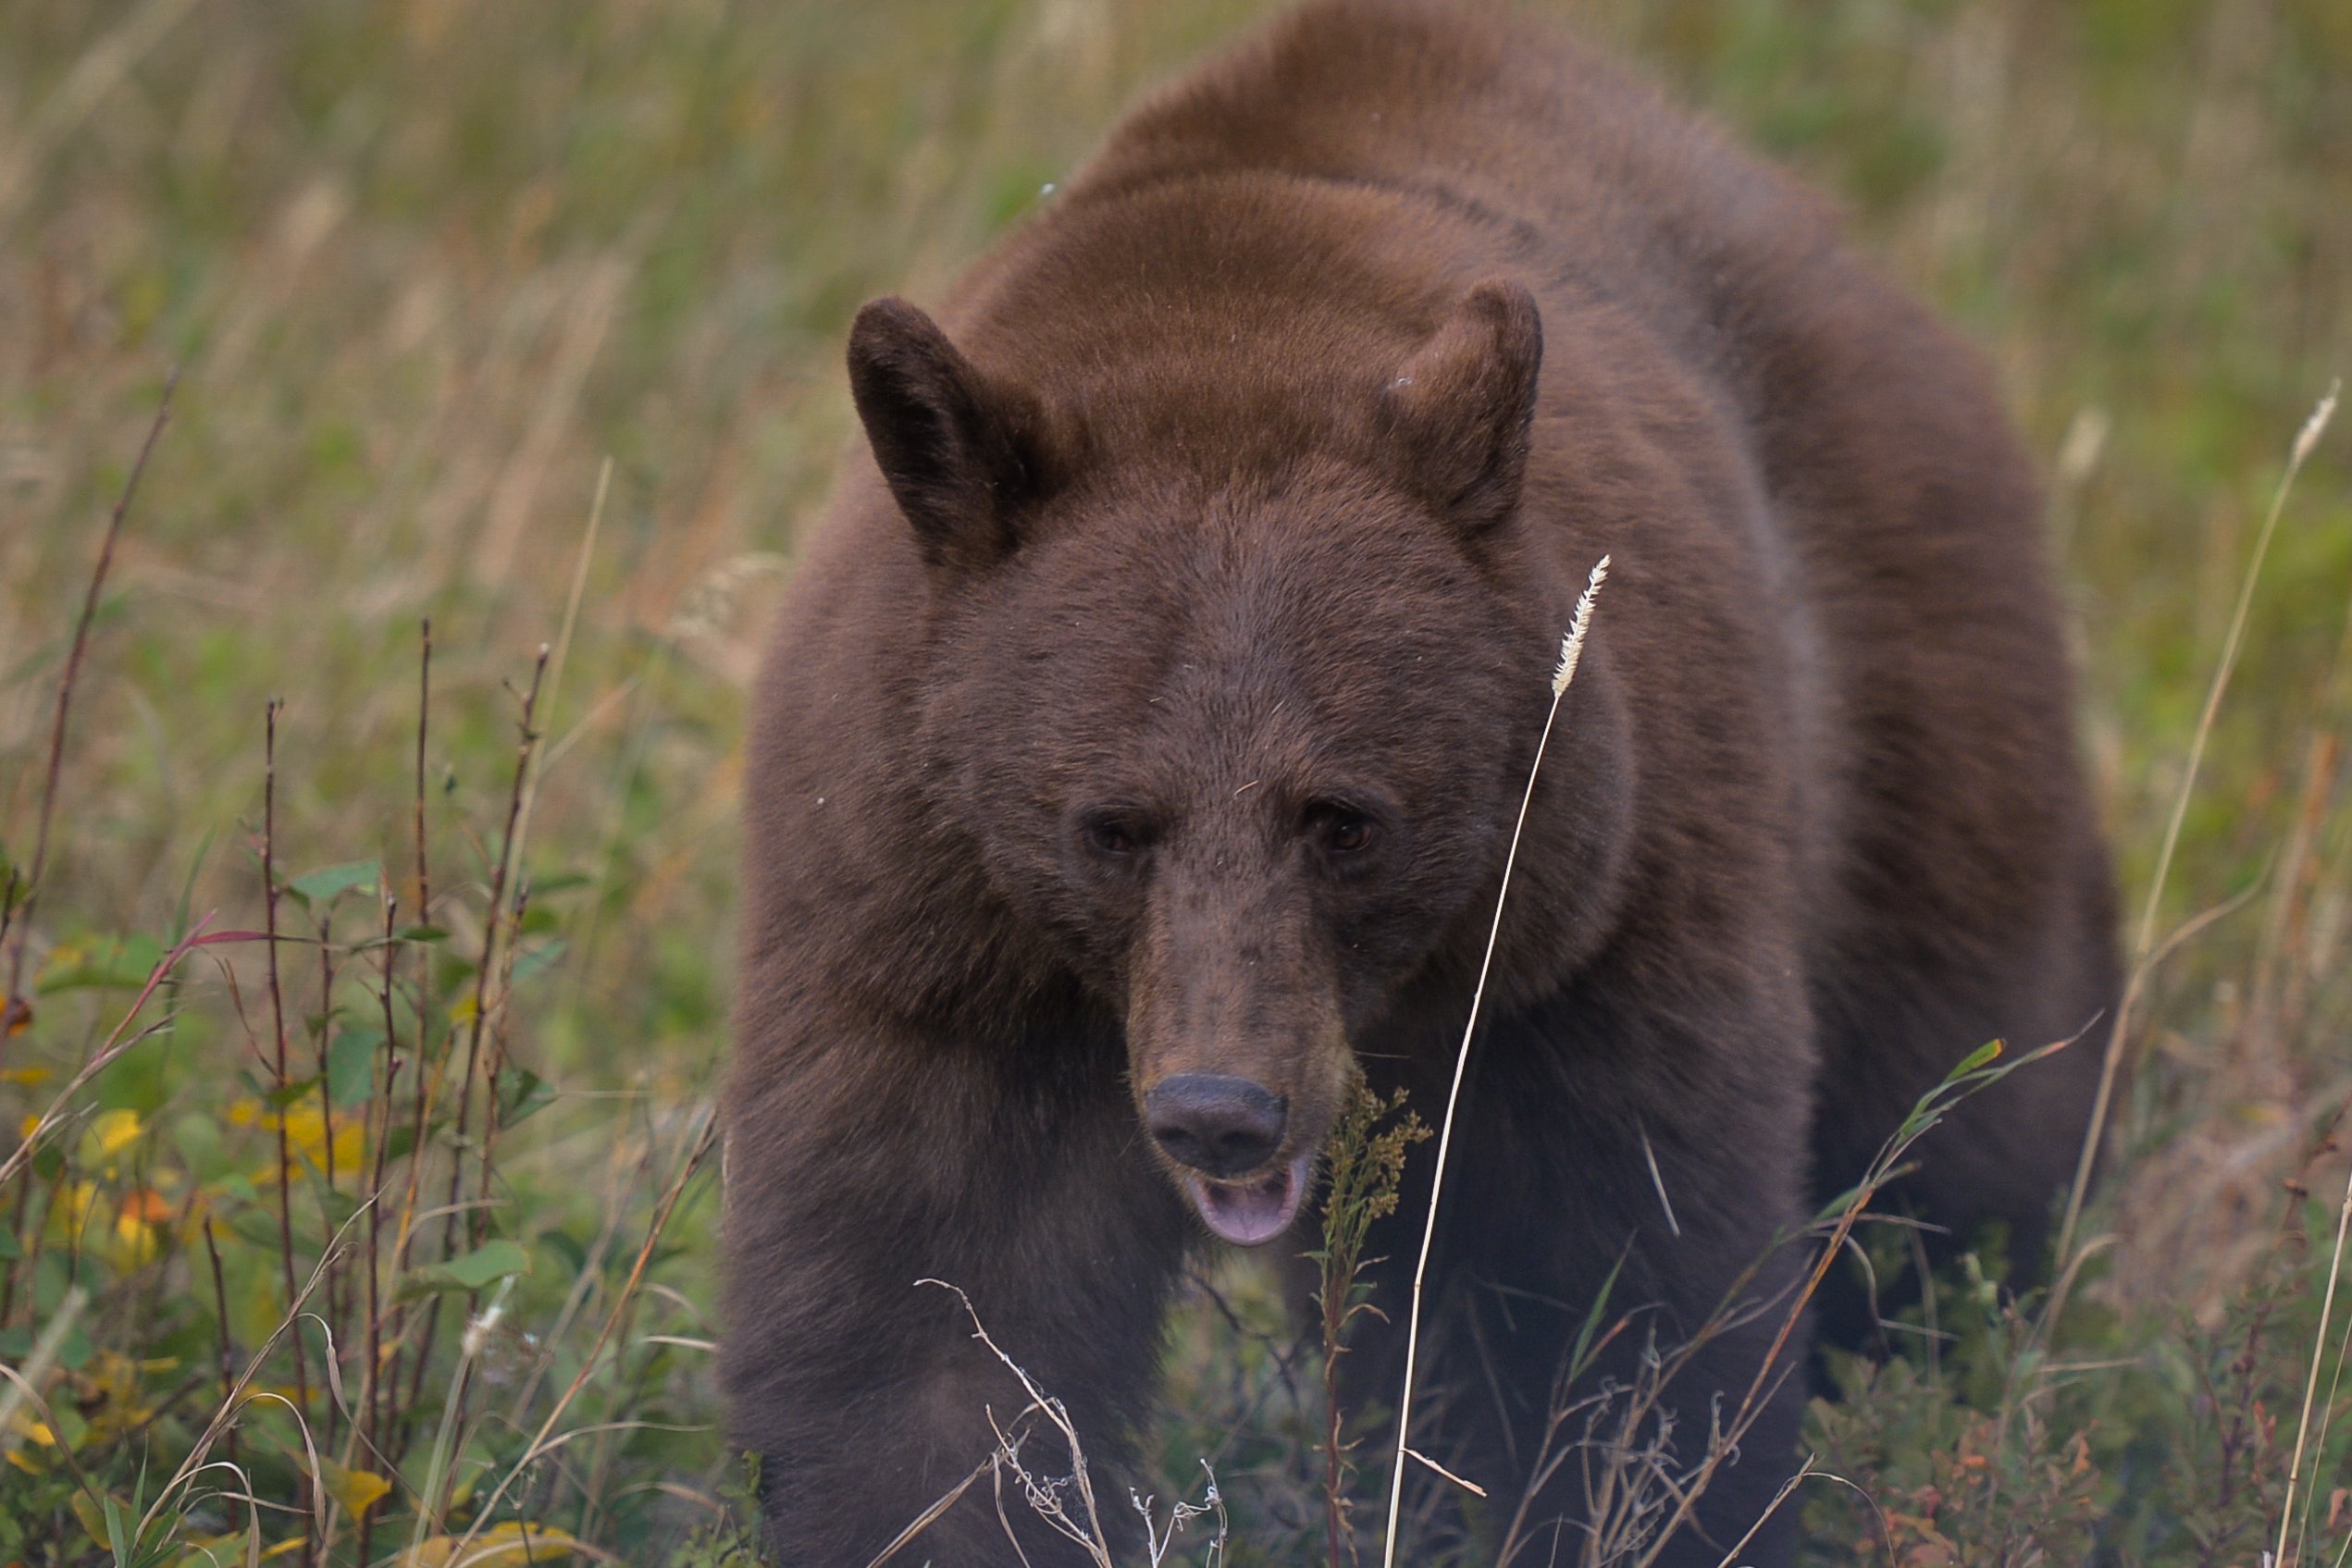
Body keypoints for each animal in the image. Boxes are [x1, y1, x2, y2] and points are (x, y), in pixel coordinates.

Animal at [722, 2, 2118, 1564]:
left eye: (1342, 820)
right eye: (1111, 825)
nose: (1219, 1106)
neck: (1218, 327)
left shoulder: (1589, 941)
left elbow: (1598, 1295)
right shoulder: (926, 936)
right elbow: (929, 1321)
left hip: (1904, 688)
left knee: (1953, 1108)